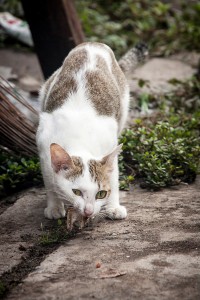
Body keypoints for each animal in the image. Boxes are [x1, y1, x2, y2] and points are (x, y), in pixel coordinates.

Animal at [36, 41, 148, 220]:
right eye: (76, 192)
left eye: (100, 194)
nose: (88, 211)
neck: (78, 139)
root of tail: (93, 43)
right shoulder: (44, 151)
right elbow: (49, 182)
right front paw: (54, 207)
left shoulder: (110, 146)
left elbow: (113, 178)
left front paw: (113, 207)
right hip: (44, 90)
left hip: (123, 106)